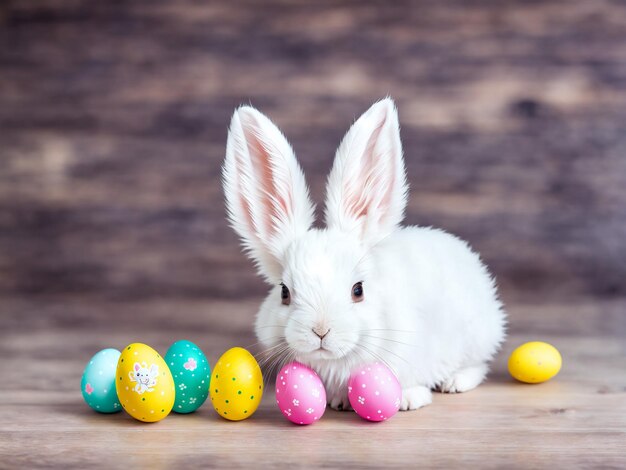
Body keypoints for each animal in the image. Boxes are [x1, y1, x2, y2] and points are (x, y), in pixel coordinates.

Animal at [222, 97, 504, 410]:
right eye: (284, 292)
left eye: (358, 290)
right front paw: (338, 402)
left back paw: (455, 383)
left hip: (478, 337)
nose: (321, 331)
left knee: (478, 365)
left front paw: (409, 399)